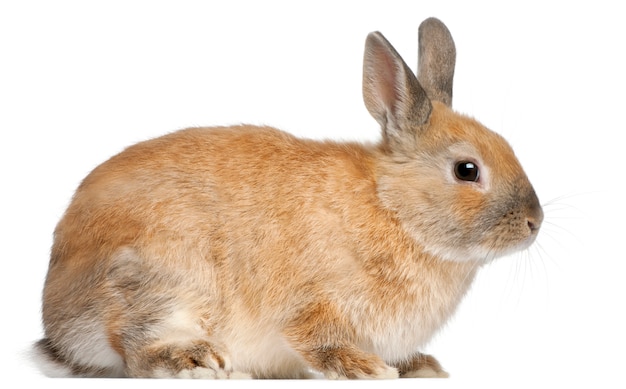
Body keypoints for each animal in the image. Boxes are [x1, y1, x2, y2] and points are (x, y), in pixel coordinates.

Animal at [35, 16, 540, 378]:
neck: (392, 208)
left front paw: (421, 367)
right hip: (156, 284)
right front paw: (364, 368)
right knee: (135, 348)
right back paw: (196, 362)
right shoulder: (313, 304)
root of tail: (56, 315)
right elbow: (316, 338)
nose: (534, 223)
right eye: (467, 170)